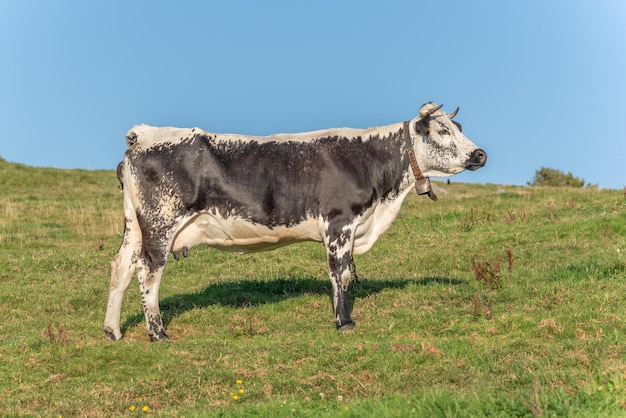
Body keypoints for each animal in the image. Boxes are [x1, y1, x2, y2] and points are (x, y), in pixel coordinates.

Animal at [102, 103, 486, 342]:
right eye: (441, 130)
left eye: (458, 127)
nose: (479, 153)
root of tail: (141, 135)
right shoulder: (339, 222)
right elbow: (340, 274)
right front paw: (344, 322)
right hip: (161, 222)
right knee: (149, 271)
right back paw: (157, 332)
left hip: (135, 225)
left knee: (121, 267)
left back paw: (112, 331)